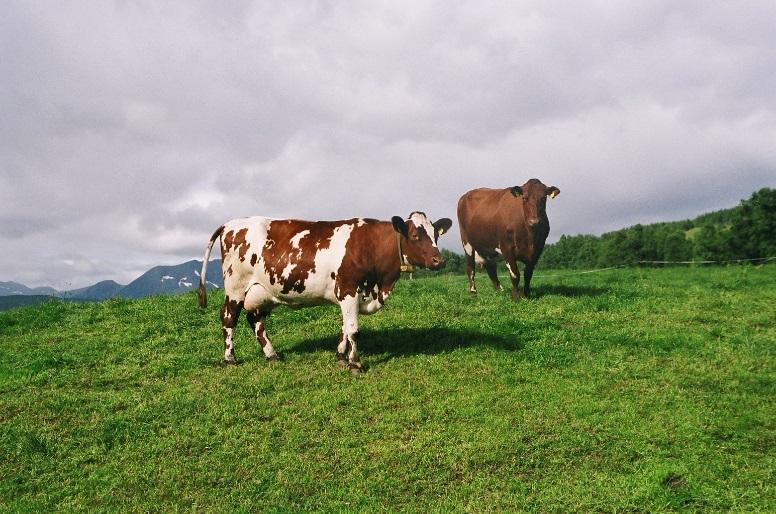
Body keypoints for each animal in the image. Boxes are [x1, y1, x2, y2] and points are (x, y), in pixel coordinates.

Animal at [197, 211, 452, 372]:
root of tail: (230, 224)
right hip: (236, 287)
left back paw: (272, 355)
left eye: (436, 235)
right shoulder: (349, 289)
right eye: (416, 236)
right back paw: (230, 358)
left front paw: (340, 356)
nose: (439, 260)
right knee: (229, 318)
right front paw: (355, 364)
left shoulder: (350, 295)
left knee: (255, 320)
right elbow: (354, 330)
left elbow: (345, 328)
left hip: (263, 291)